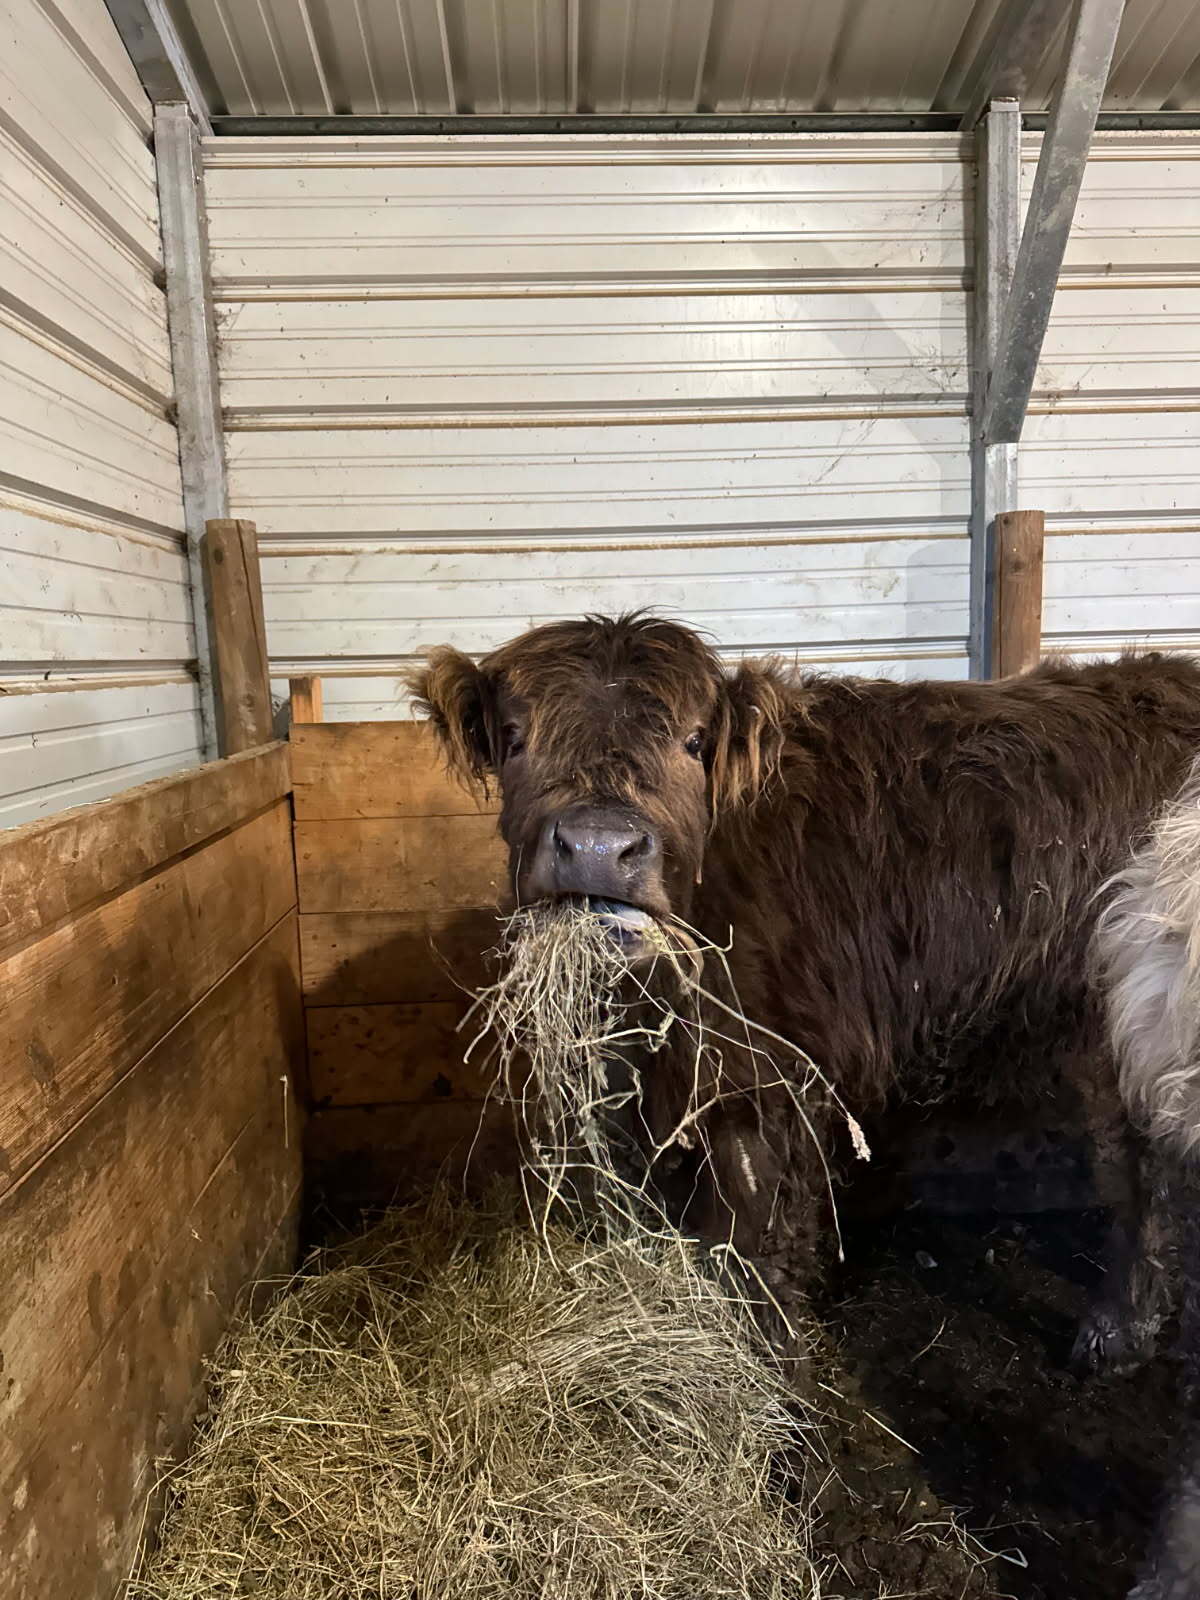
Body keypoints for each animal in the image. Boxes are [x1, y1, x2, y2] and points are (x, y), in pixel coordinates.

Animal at [411, 611, 1200, 1373]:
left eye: (694, 741)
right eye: (515, 737)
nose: (600, 847)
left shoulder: (771, 1074)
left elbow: (753, 1232)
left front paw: (762, 1360)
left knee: (1144, 1174)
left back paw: (1115, 1333)